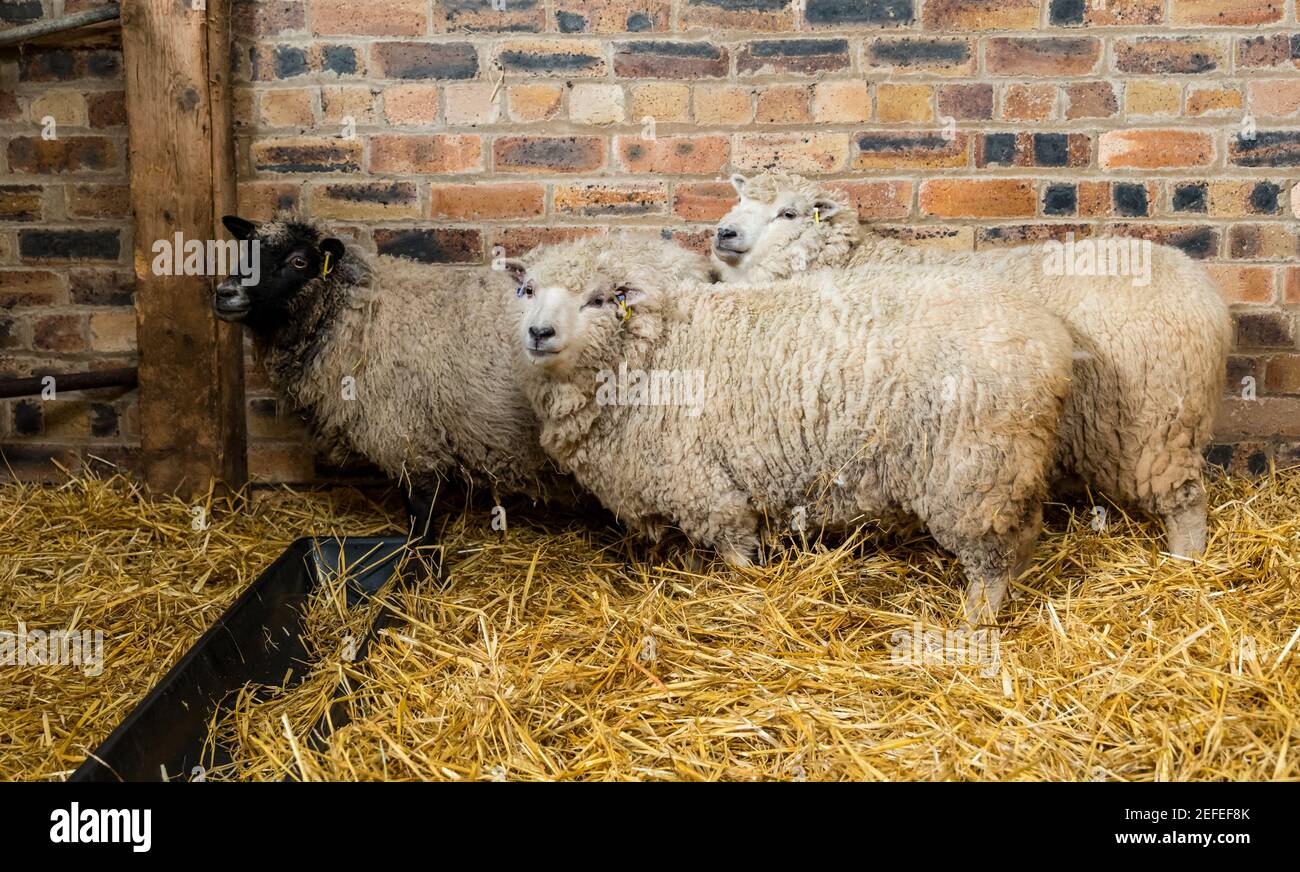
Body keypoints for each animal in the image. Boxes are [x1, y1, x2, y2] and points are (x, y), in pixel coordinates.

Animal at [506, 235, 1076, 623]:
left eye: (598, 299)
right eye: (527, 290)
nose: (538, 332)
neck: (654, 351)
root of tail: (1051, 336)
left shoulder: (708, 488)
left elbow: (736, 555)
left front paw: (746, 593)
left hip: (978, 471)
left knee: (991, 559)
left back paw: (977, 619)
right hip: (1005, 469)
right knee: (1023, 538)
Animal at [717, 172, 1232, 558]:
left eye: (787, 213)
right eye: (739, 198)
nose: (723, 232)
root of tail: (1206, 293)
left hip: (1156, 425)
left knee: (1187, 501)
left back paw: (1185, 563)